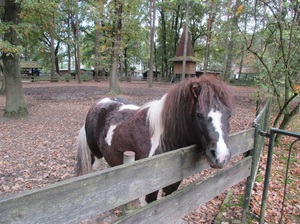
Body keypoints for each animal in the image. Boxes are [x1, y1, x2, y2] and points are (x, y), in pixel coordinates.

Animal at [75, 75, 232, 203]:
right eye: (199, 114)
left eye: (229, 114)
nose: (221, 157)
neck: (165, 140)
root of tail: (100, 103)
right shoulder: (148, 193)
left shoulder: (172, 186)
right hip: (96, 159)